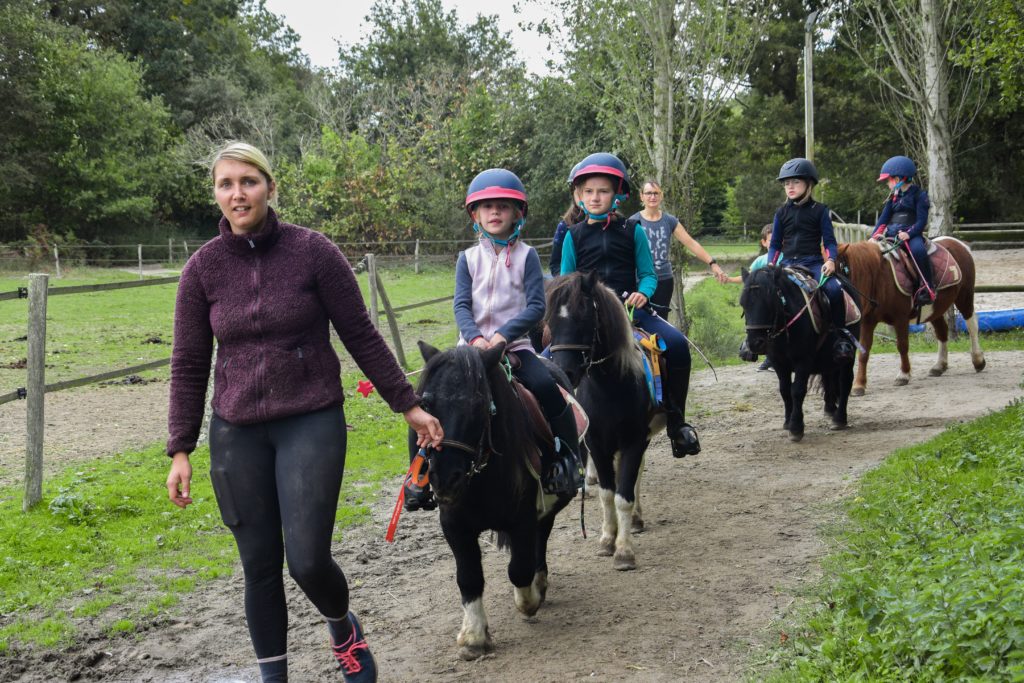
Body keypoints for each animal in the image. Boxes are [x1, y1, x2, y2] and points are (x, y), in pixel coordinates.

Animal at [413, 342, 577, 663]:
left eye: (479, 405)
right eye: (426, 405)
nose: (445, 479)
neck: (481, 478)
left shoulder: (523, 519)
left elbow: (519, 569)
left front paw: (529, 601)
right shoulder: (454, 525)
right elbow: (468, 577)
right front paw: (473, 637)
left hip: (546, 511)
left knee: (540, 543)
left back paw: (540, 585)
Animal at [544, 270, 663, 573]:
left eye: (584, 317)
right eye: (550, 321)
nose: (564, 371)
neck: (610, 387)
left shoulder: (634, 440)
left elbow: (624, 495)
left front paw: (624, 551)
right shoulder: (597, 444)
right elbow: (608, 493)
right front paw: (608, 539)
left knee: (635, 478)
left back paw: (636, 520)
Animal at [741, 264, 860, 440]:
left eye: (769, 302)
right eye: (743, 303)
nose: (755, 343)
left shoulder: (803, 361)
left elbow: (797, 391)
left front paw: (796, 427)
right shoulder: (778, 362)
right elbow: (784, 390)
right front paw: (787, 421)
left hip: (848, 354)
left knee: (845, 381)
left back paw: (839, 419)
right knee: (829, 378)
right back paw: (830, 409)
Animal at [839, 237, 983, 395]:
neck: (879, 277)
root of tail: (959, 244)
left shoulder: (900, 318)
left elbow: (902, 345)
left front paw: (903, 375)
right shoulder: (868, 321)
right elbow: (864, 351)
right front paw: (859, 385)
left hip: (965, 297)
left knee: (972, 325)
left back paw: (978, 361)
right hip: (935, 309)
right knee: (942, 331)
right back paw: (939, 366)